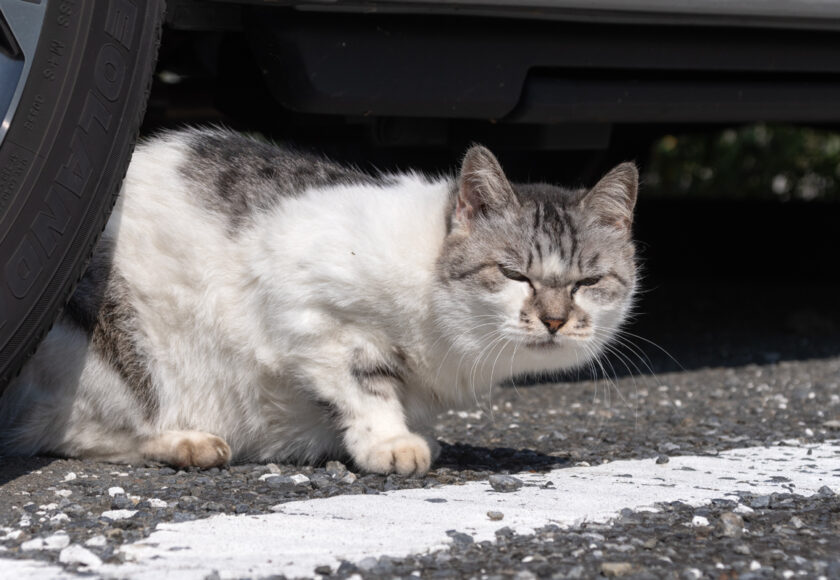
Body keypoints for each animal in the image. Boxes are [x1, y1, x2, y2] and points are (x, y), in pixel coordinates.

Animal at [0, 129, 636, 474]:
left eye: (587, 281)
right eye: (513, 274)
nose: (555, 319)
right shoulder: (309, 311)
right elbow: (367, 382)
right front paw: (391, 442)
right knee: (62, 430)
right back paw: (187, 441)